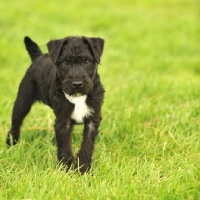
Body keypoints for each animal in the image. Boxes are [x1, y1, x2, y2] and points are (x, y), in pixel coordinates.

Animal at [6, 36, 104, 173]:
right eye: (64, 63)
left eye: (87, 61)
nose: (77, 84)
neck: (78, 97)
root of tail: (38, 56)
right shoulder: (63, 121)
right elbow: (64, 145)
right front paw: (67, 168)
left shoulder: (92, 119)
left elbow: (87, 145)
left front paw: (83, 168)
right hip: (22, 101)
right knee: (16, 123)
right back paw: (11, 144)